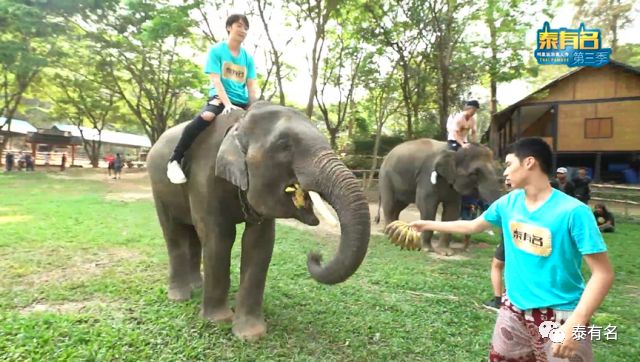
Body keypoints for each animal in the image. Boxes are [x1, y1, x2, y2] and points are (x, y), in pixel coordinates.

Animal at [146, 101, 370, 340]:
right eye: (284, 146)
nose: (316, 255)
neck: (239, 124)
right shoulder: (204, 176)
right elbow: (219, 238)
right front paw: (218, 321)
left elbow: (259, 242)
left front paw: (251, 334)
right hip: (158, 186)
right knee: (174, 233)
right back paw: (180, 296)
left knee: (194, 235)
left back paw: (198, 286)